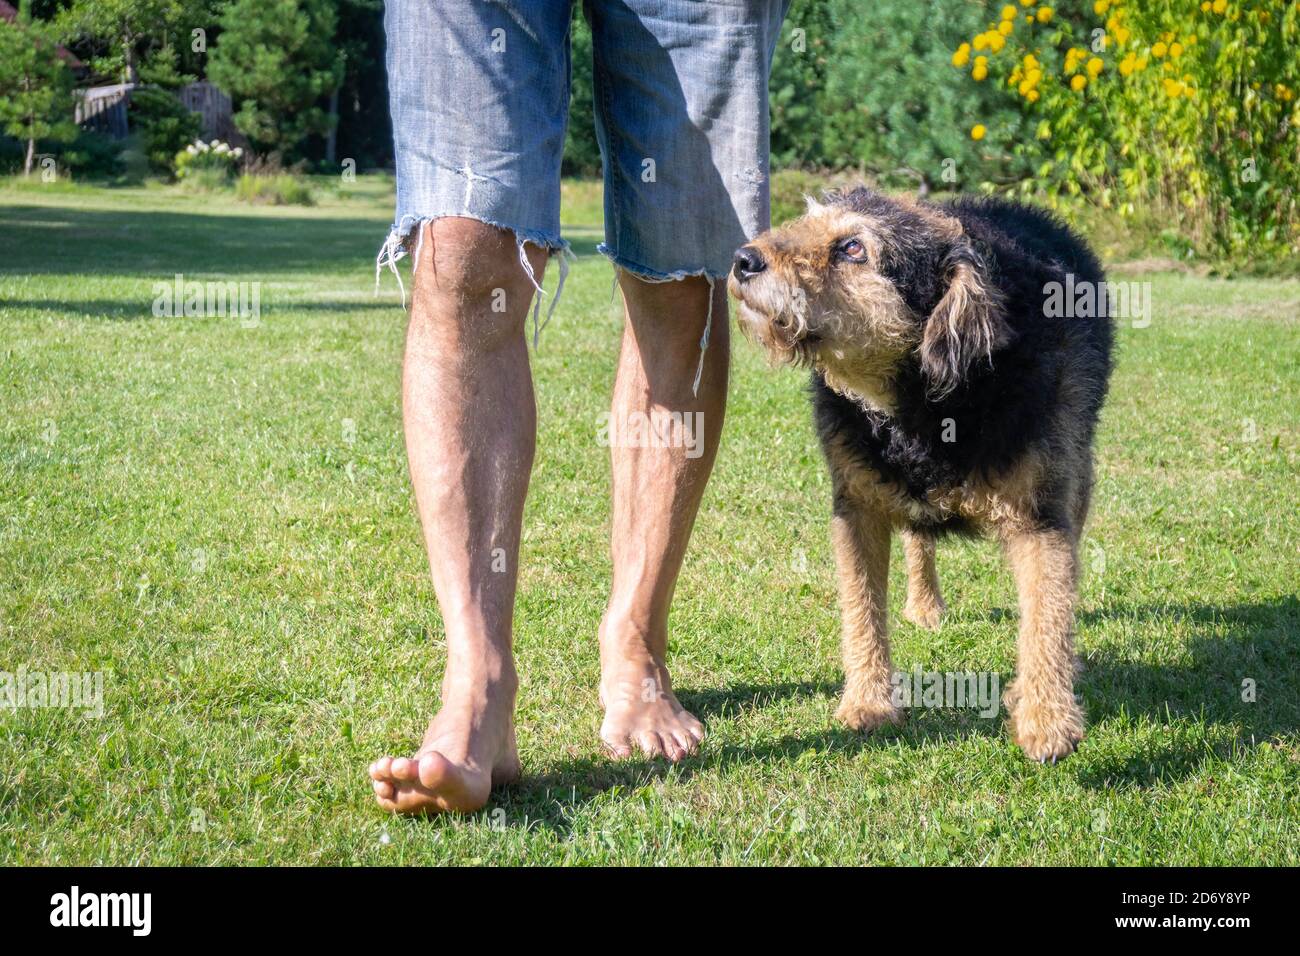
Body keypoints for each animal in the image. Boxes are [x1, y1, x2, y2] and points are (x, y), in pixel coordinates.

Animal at [733, 191, 1118, 764]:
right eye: (807, 220)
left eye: (853, 247)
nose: (743, 260)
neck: (923, 400)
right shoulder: (856, 508)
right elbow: (861, 607)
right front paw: (868, 702)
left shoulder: (1040, 517)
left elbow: (1047, 609)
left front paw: (1047, 716)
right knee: (919, 538)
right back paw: (924, 604)